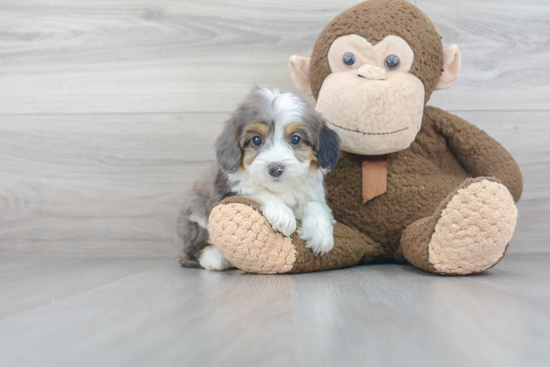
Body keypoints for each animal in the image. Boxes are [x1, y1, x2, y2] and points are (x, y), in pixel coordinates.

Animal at [179, 86, 340, 270]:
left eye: (295, 139)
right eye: (256, 140)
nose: (275, 168)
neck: (281, 188)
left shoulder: (312, 193)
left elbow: (315, 205)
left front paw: (321, 234)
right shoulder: (230, 191)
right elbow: (256, 191)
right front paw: (282, 214)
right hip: (196, 214)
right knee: (194, 250)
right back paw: (215, 257)